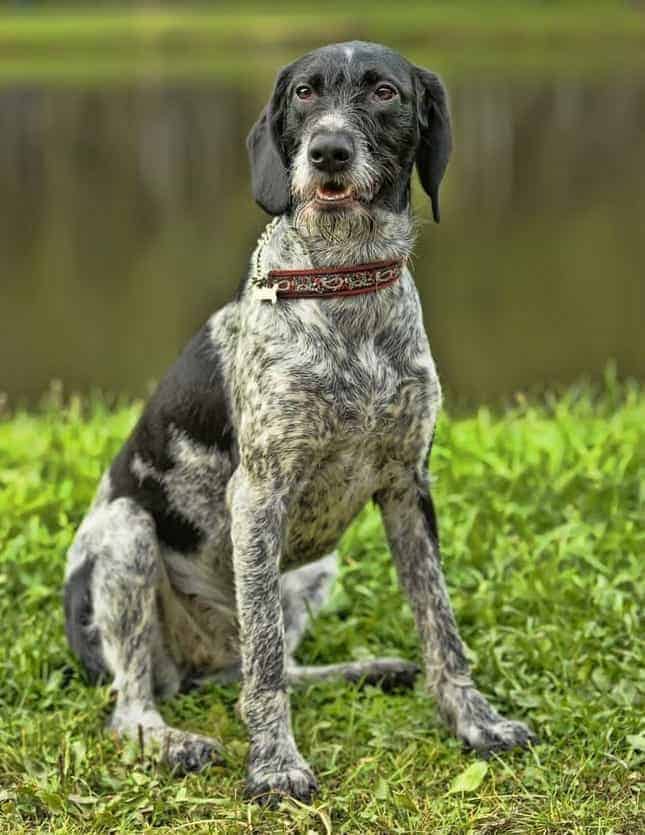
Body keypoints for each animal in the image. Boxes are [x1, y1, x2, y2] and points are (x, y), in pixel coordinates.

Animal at [64, 40, 532, 804]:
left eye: (384, 92)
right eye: (305, 94)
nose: (328, 152)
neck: (345, 284)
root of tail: (199, 664)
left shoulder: (408, 487)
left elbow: (440, 626)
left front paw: (476, 722)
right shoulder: (258, 497)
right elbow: (264, 669)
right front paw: (275, 764)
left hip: (311, 570)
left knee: (267, 662)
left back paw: (362, 669)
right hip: (127, 535)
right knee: (142, 703)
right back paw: (173, 741)